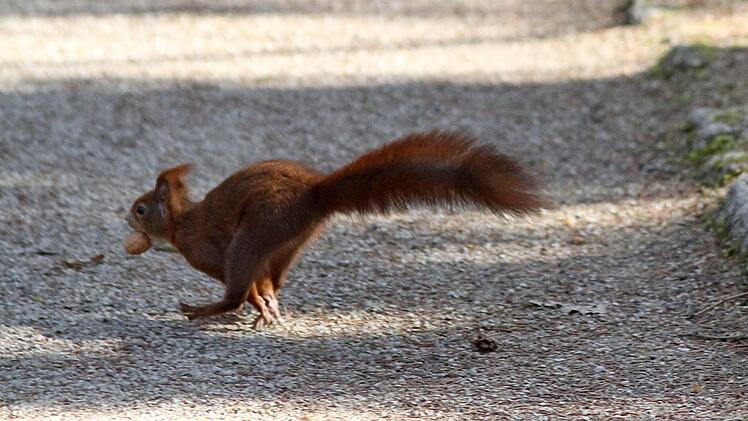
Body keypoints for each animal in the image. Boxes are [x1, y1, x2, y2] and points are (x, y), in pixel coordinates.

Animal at [125, 131, 545, 328]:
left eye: (141, 209)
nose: (125, 219)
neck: (181, 224)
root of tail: (314, 193)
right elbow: (261, 287)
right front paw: (265, 308)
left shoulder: (209, 252)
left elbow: (245, 287)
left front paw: (253, 306)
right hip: (287, 241)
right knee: (274, 279)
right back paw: (266, 305)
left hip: (259, 230)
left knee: (240, 283)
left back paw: (201, 309)